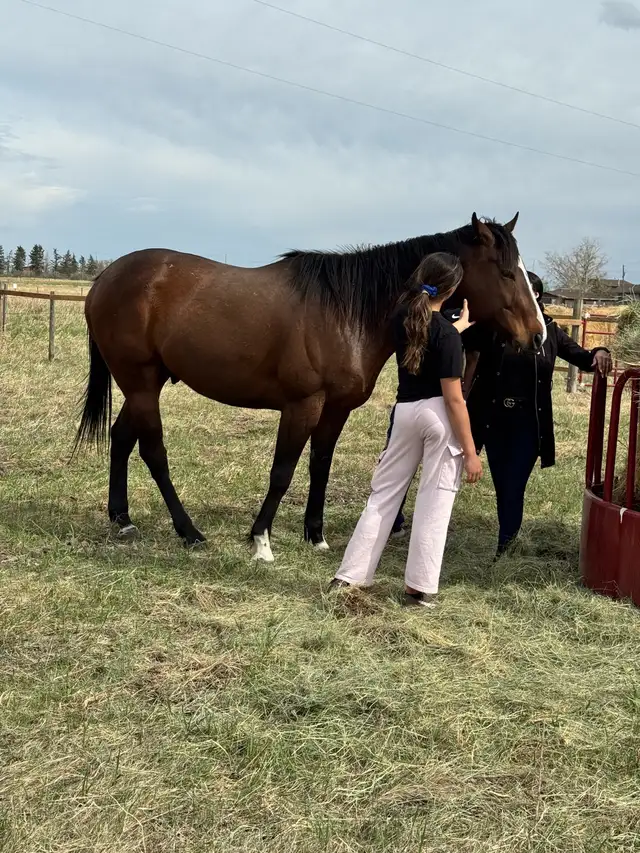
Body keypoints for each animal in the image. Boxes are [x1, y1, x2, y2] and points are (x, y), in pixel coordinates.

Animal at [74, 212, 545, 562]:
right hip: (140, 383)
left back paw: (122, 519)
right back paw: (188, 531)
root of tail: (106, 278)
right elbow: (282, 471)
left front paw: (315, 535)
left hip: (146, 384)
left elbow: (320, 464)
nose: (538, 336)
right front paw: (261, 541)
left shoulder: (335, 408)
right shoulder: (302, 405)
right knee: (153, 452)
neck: (347, 313)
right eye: (506, 272)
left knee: (121, 438)